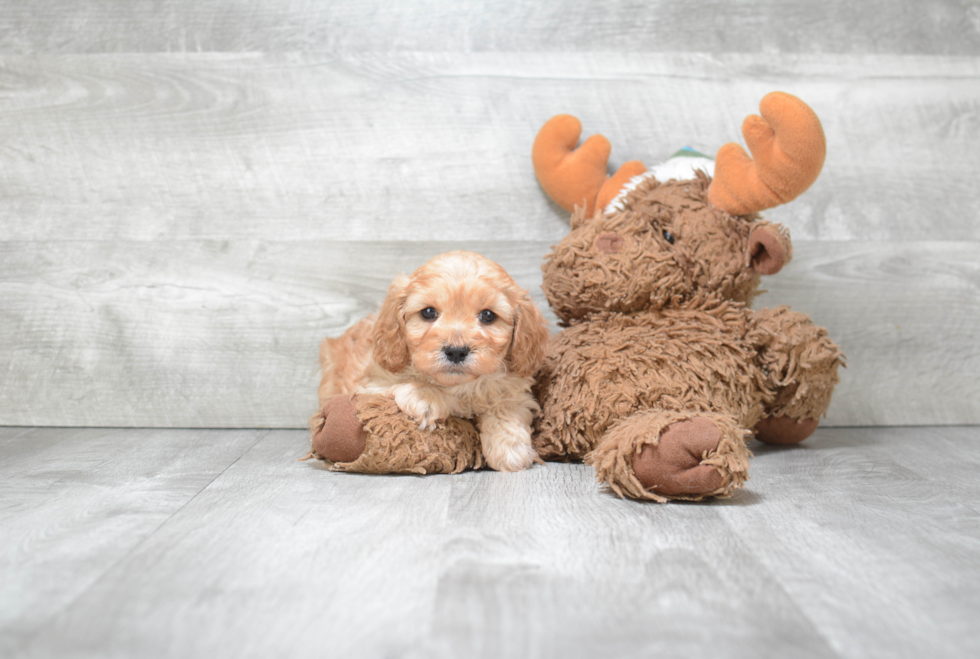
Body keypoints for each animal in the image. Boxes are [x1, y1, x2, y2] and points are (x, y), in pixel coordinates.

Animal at [322, 250, 552, 472]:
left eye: (488, 315)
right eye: (428, 312)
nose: (456, 351)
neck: (459, 384)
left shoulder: (515, 388)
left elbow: (505, 407)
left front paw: (511, 450)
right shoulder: (372, 385)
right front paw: (425, 397)